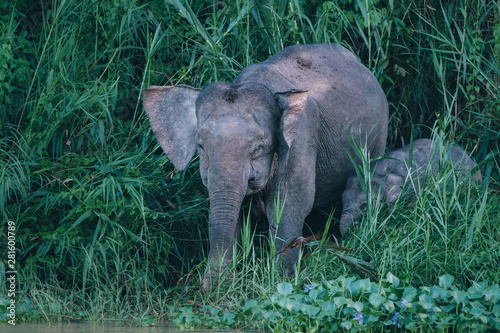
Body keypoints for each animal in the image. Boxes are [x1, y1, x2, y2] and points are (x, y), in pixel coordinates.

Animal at [143, 42, 388, 286]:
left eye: (258, 148)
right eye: (201, 146)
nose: (205, 289)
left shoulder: (300, 140)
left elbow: (288, 208)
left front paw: (281, 280)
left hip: (379, 137)